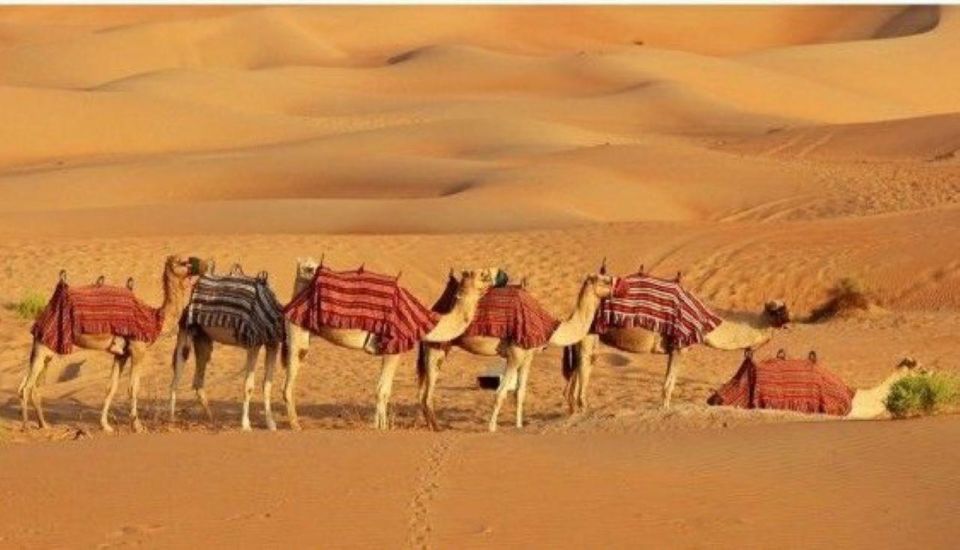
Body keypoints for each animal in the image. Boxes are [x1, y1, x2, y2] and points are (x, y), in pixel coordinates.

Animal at [19, 255, 205, 433]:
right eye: (182, 261)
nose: (201, 265)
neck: (154, 319)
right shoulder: (138, 349)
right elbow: (133, 387)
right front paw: (137, 426)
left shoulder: (121, 354)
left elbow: (111, 387)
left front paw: (105, 426)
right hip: (45, 346)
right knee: (26, 387)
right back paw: (26, 426)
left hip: (47, 348)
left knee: (34, 387)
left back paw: (43, 425)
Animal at [170, 264, 285, 431]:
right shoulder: (254, 344)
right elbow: (248, 386)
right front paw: (245, 424)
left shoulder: (272, 344)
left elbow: (268, 384)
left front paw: (271, 424)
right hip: (185, 334)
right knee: (176, 378)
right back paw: (171, 420)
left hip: (203, 341)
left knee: (198, 382)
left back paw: (212, 419)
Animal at [283, 258, 495, 430]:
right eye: (482, 274)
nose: (495, 275)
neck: (423, 321)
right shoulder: (394, 348)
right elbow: (383, 391)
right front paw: (382, 428)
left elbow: (383, 391)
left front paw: (380, 426)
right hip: (296, 329)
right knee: (288, 385)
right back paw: (295, 426)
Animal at [417, 273, 615, 432]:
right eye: (605, 280)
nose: (615, 286)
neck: (549, 327)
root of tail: (433, 309)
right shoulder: (515, 354)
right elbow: (501, 392)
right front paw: (492, 427)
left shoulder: (528, 356)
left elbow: (520, 393)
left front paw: (519, 426)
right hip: (437, 347)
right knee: (427, 393)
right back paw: (436, 427)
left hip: (440, 347)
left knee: (422, 392)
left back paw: (431, 425)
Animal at [564, 300, 791, 413]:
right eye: (779, 312)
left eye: (786, 310)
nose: (789, 322)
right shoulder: (678, 347)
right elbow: (668, 384)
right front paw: (665, 409)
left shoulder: (676, 350)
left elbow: (670, 381)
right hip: (588, 334)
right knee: (584, 367)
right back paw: (583, 409)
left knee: (579, 370)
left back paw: (573, 412)